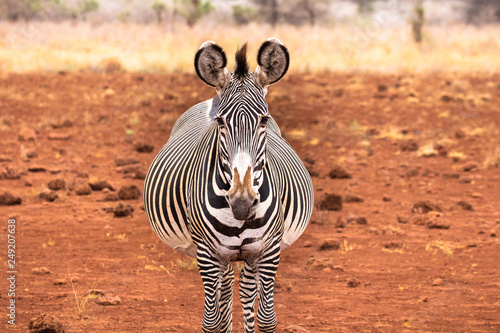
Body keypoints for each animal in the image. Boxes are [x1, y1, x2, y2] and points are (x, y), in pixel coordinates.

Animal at [143, 37, 312, 330]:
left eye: (264, 120)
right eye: (220, 121)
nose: (242, 203)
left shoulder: (269, 250)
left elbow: (266, 318)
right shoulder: (208, 253)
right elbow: (211, 321)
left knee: (244, 289)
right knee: (225, 291)